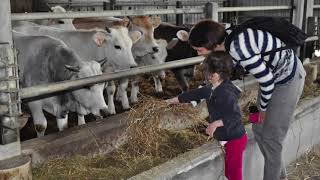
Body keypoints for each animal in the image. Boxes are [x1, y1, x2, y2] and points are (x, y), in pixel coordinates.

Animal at [13, 23, 141, 114]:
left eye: (131, 45)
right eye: (117, 46)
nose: (133, 65)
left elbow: (121, 86)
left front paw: (125, 105)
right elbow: (110, 90)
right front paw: (111, 109)